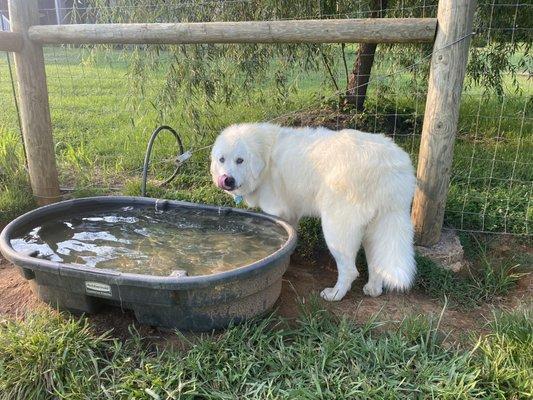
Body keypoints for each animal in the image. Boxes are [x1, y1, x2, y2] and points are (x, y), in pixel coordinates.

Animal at [211, 122, 416, 300]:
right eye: (221, 159)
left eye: (240, 160)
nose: (227, 179)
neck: (266, 155)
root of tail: (388, 166)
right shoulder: (291, 214)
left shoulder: (275, 212)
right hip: (377, 228)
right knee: (377, 264)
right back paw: (373, 289)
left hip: (336, 230)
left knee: (350, 270)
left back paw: (335, 294)